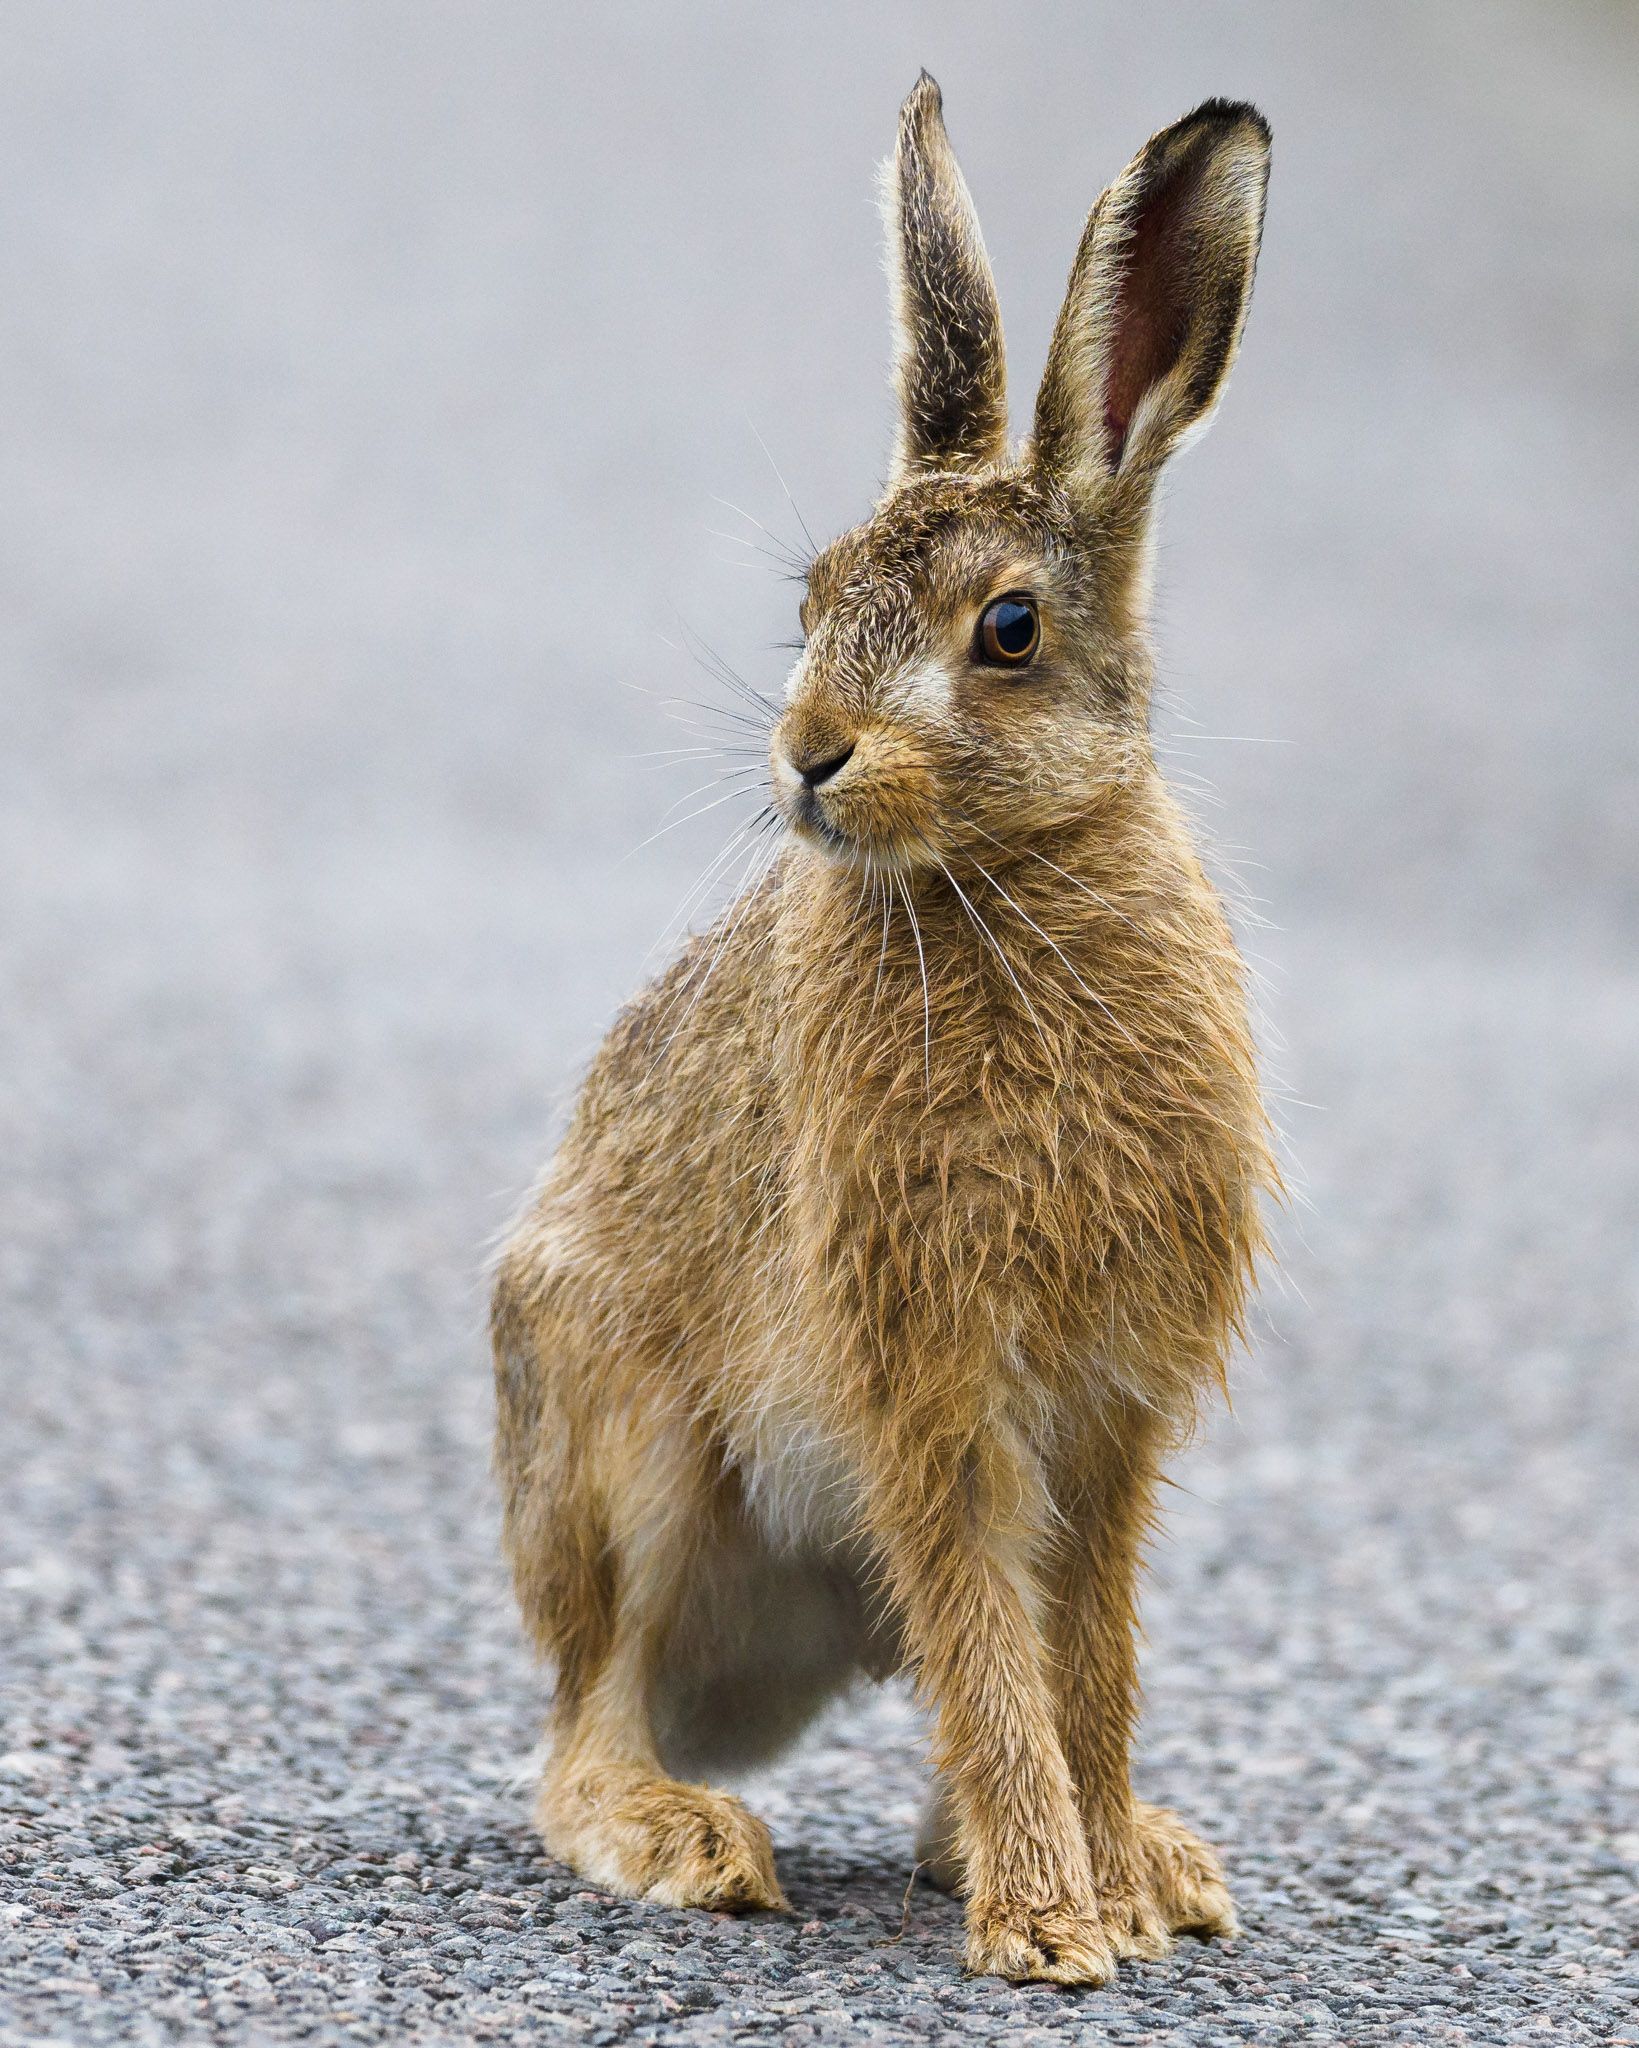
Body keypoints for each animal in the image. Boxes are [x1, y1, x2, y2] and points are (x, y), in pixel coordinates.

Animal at [492, 72, 1276, 1987]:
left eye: (1005, 630)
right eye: (808, 602)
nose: (807, 757)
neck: (1001, 879)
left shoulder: (1106, 1413)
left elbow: (1082, 1655)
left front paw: (1111, 1882)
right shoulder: (928, 1372)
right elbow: (1000, 1653)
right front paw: (1053, 1927)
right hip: (623, 1446)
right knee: (585, 1716)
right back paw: (684, 1832)